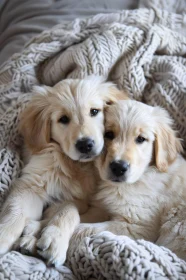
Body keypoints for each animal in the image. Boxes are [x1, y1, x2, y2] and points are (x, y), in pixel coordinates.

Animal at [0, 76, 127, 264]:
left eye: (94, 111)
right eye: (63, 119)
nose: (85, 145)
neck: (79, 165)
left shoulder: (90, 203)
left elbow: (70, 208)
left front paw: (55, 239)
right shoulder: (32, 183)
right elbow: (14, 210)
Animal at [73, 100, 186, 260]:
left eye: (141, 139)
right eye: (109, 134)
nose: (118, 167)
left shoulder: (137, 227)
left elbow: (86, 229)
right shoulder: (101, 207)